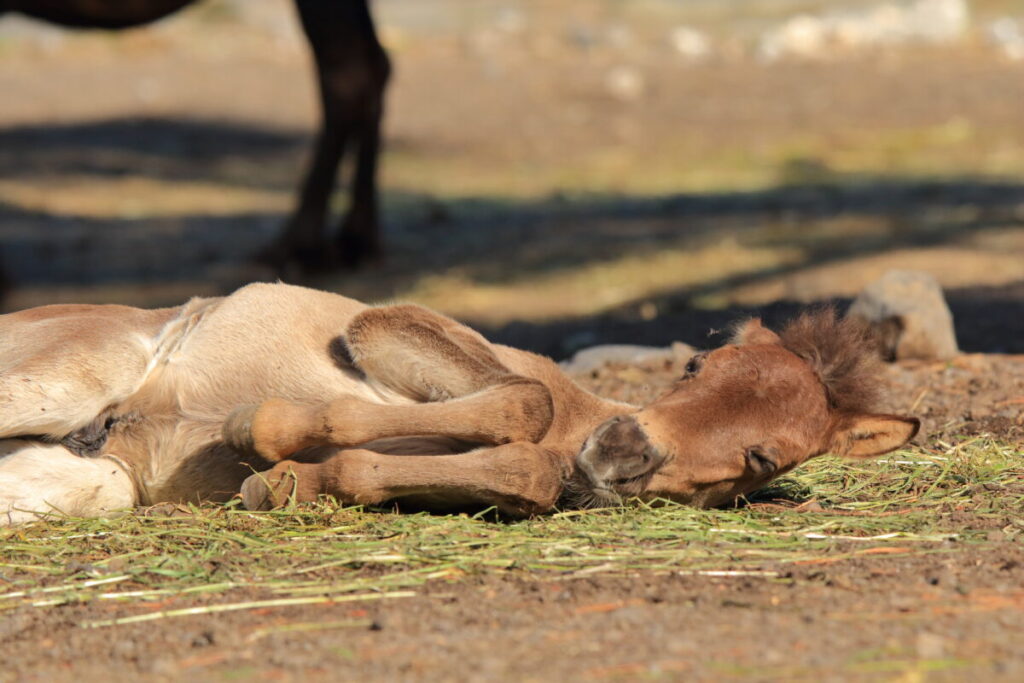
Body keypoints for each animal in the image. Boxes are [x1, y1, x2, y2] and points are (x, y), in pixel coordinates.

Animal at [0, 282, 919, 525]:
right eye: (698, 361)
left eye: (765, 456)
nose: (621, 450)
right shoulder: (385, 326)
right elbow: (521, 401)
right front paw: (262, 429)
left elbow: (525, 470)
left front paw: (289, 479)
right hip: (55, 379)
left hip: (86, 483)